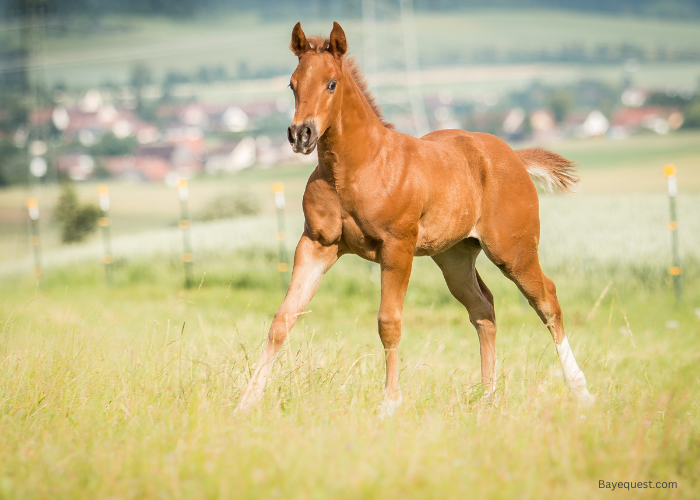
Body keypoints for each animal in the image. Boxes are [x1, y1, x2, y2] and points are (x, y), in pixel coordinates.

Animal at [237, 21, 596, 416]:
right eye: (292, 83)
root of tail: (513, 156)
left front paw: (390, 403)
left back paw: (580, 391)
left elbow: (388, 322)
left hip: (513, 251)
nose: (301, 134)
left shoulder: (397, 248)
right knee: (483, 308)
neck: (357, 168)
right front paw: (246, 400)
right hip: (454, 257)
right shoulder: (316, 245)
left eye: (331, 83)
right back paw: (487, 396)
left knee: (547, 300)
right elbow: (283, 318)